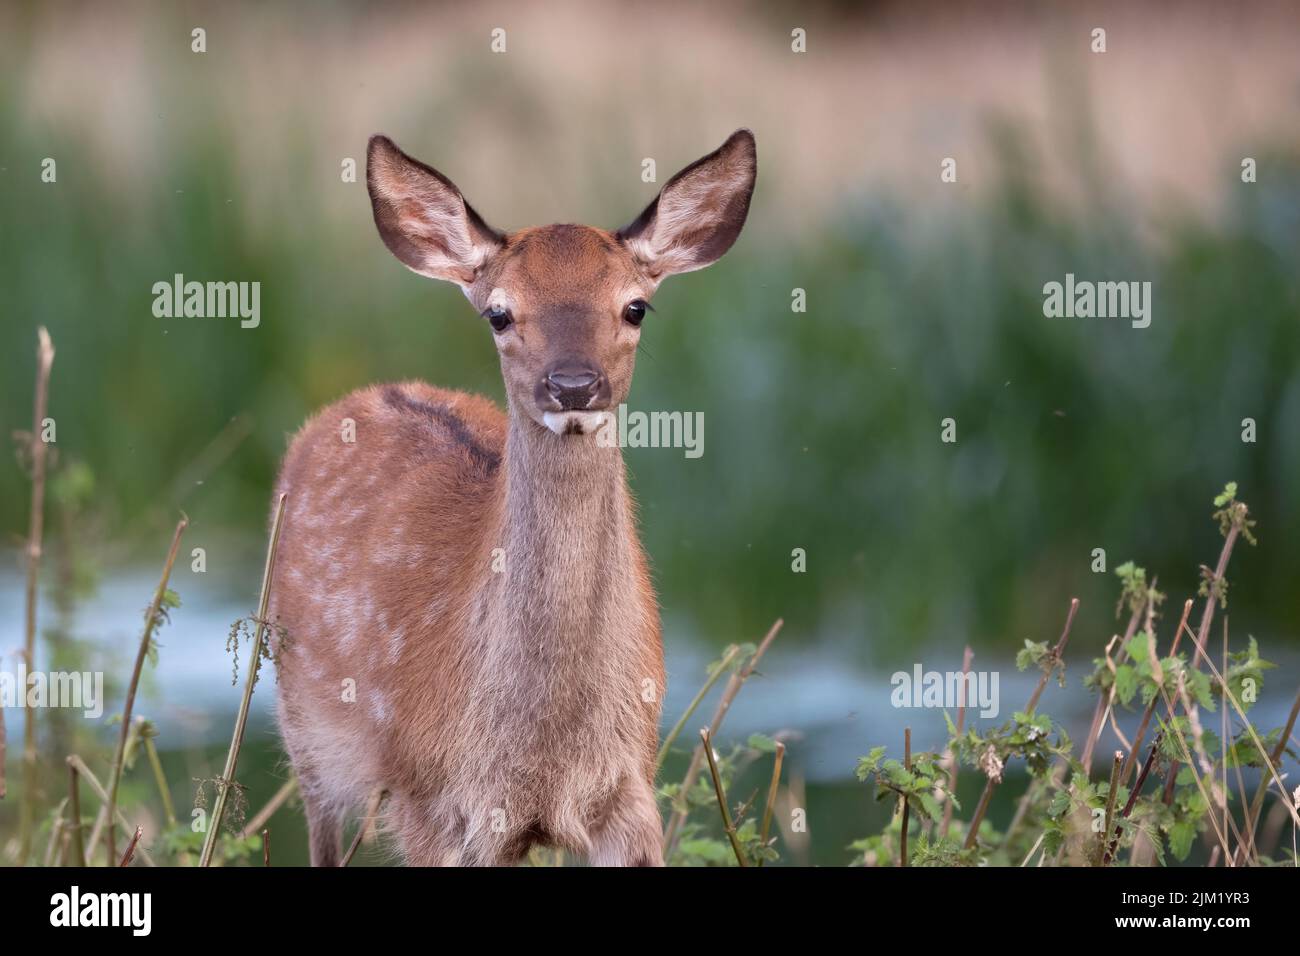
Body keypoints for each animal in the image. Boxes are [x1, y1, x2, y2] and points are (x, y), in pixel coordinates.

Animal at [269, 128, 759, 868]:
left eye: (636, 306)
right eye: (499, 313)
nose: (574, 385)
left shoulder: (630, 790)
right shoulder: (433, 801)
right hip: (308, 743)